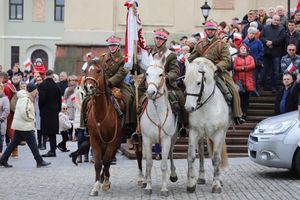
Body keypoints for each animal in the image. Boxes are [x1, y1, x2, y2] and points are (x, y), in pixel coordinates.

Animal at [140, 55, 178, 197]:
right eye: (146, 73)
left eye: (161, 74)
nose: (151, 92)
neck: (157, 113)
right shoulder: (146, 139)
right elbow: (149, 163)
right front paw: (148, 187)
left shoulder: (166, 140)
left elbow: (163, 165)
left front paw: (164, 189)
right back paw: (144, 180)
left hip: (173, 138)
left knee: (171, 154)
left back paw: (173, 174)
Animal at [183, 57, 230, 194]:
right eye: (185, 82)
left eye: (199, 83)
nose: (189, 108)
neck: (206, 106)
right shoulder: (194, 132)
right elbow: (191, 156)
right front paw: (191, 183)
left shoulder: (219, 133)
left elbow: (216, 158)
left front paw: (216, 184)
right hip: (202, 135)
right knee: (202, 154)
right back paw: (200, 177)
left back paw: (219, 179)